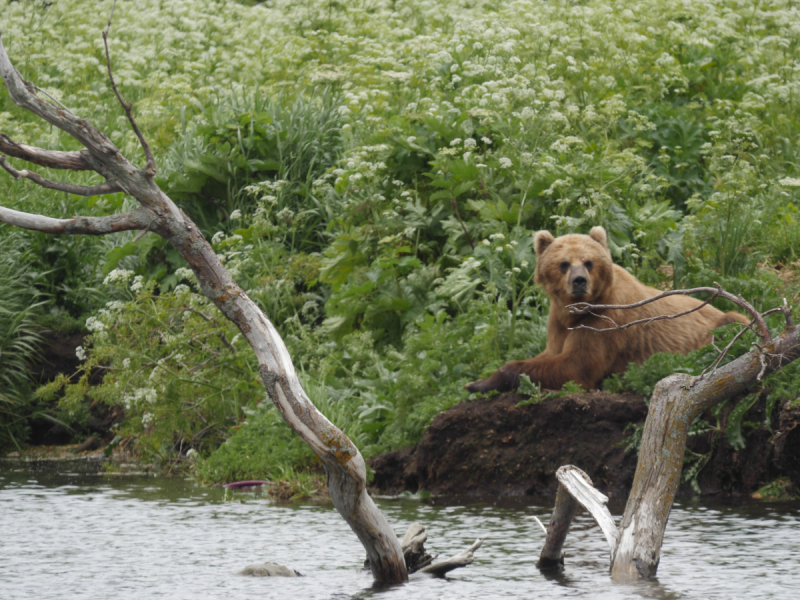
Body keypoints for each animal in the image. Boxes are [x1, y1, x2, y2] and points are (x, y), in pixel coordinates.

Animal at [462, 226, 752, 394]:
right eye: (564, 264)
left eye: (588, 262)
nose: (579, 281)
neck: (577, 310)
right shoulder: (557, 322)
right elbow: (550, 354)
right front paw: (477, 381)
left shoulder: (606, 322)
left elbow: (577, 367)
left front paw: (480, 383)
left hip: (720, 322)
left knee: (734, 320)